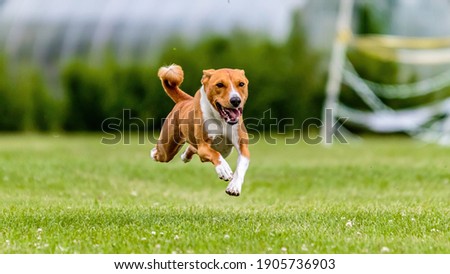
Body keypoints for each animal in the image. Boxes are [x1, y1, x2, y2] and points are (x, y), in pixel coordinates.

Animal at [150, 64, 250, 197]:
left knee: (193, 149)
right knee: (160, 152)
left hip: (225, 151)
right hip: (167, 148)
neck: (222, 119)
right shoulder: (203, 145)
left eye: (241, 84)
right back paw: (154, 153)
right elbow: (214, 154)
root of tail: (184, 101)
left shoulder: (242, 146)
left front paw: (234, 187)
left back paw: (185, 156)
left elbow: (241, 165)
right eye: (219, 84)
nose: (235, 100)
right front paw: (223, 169)